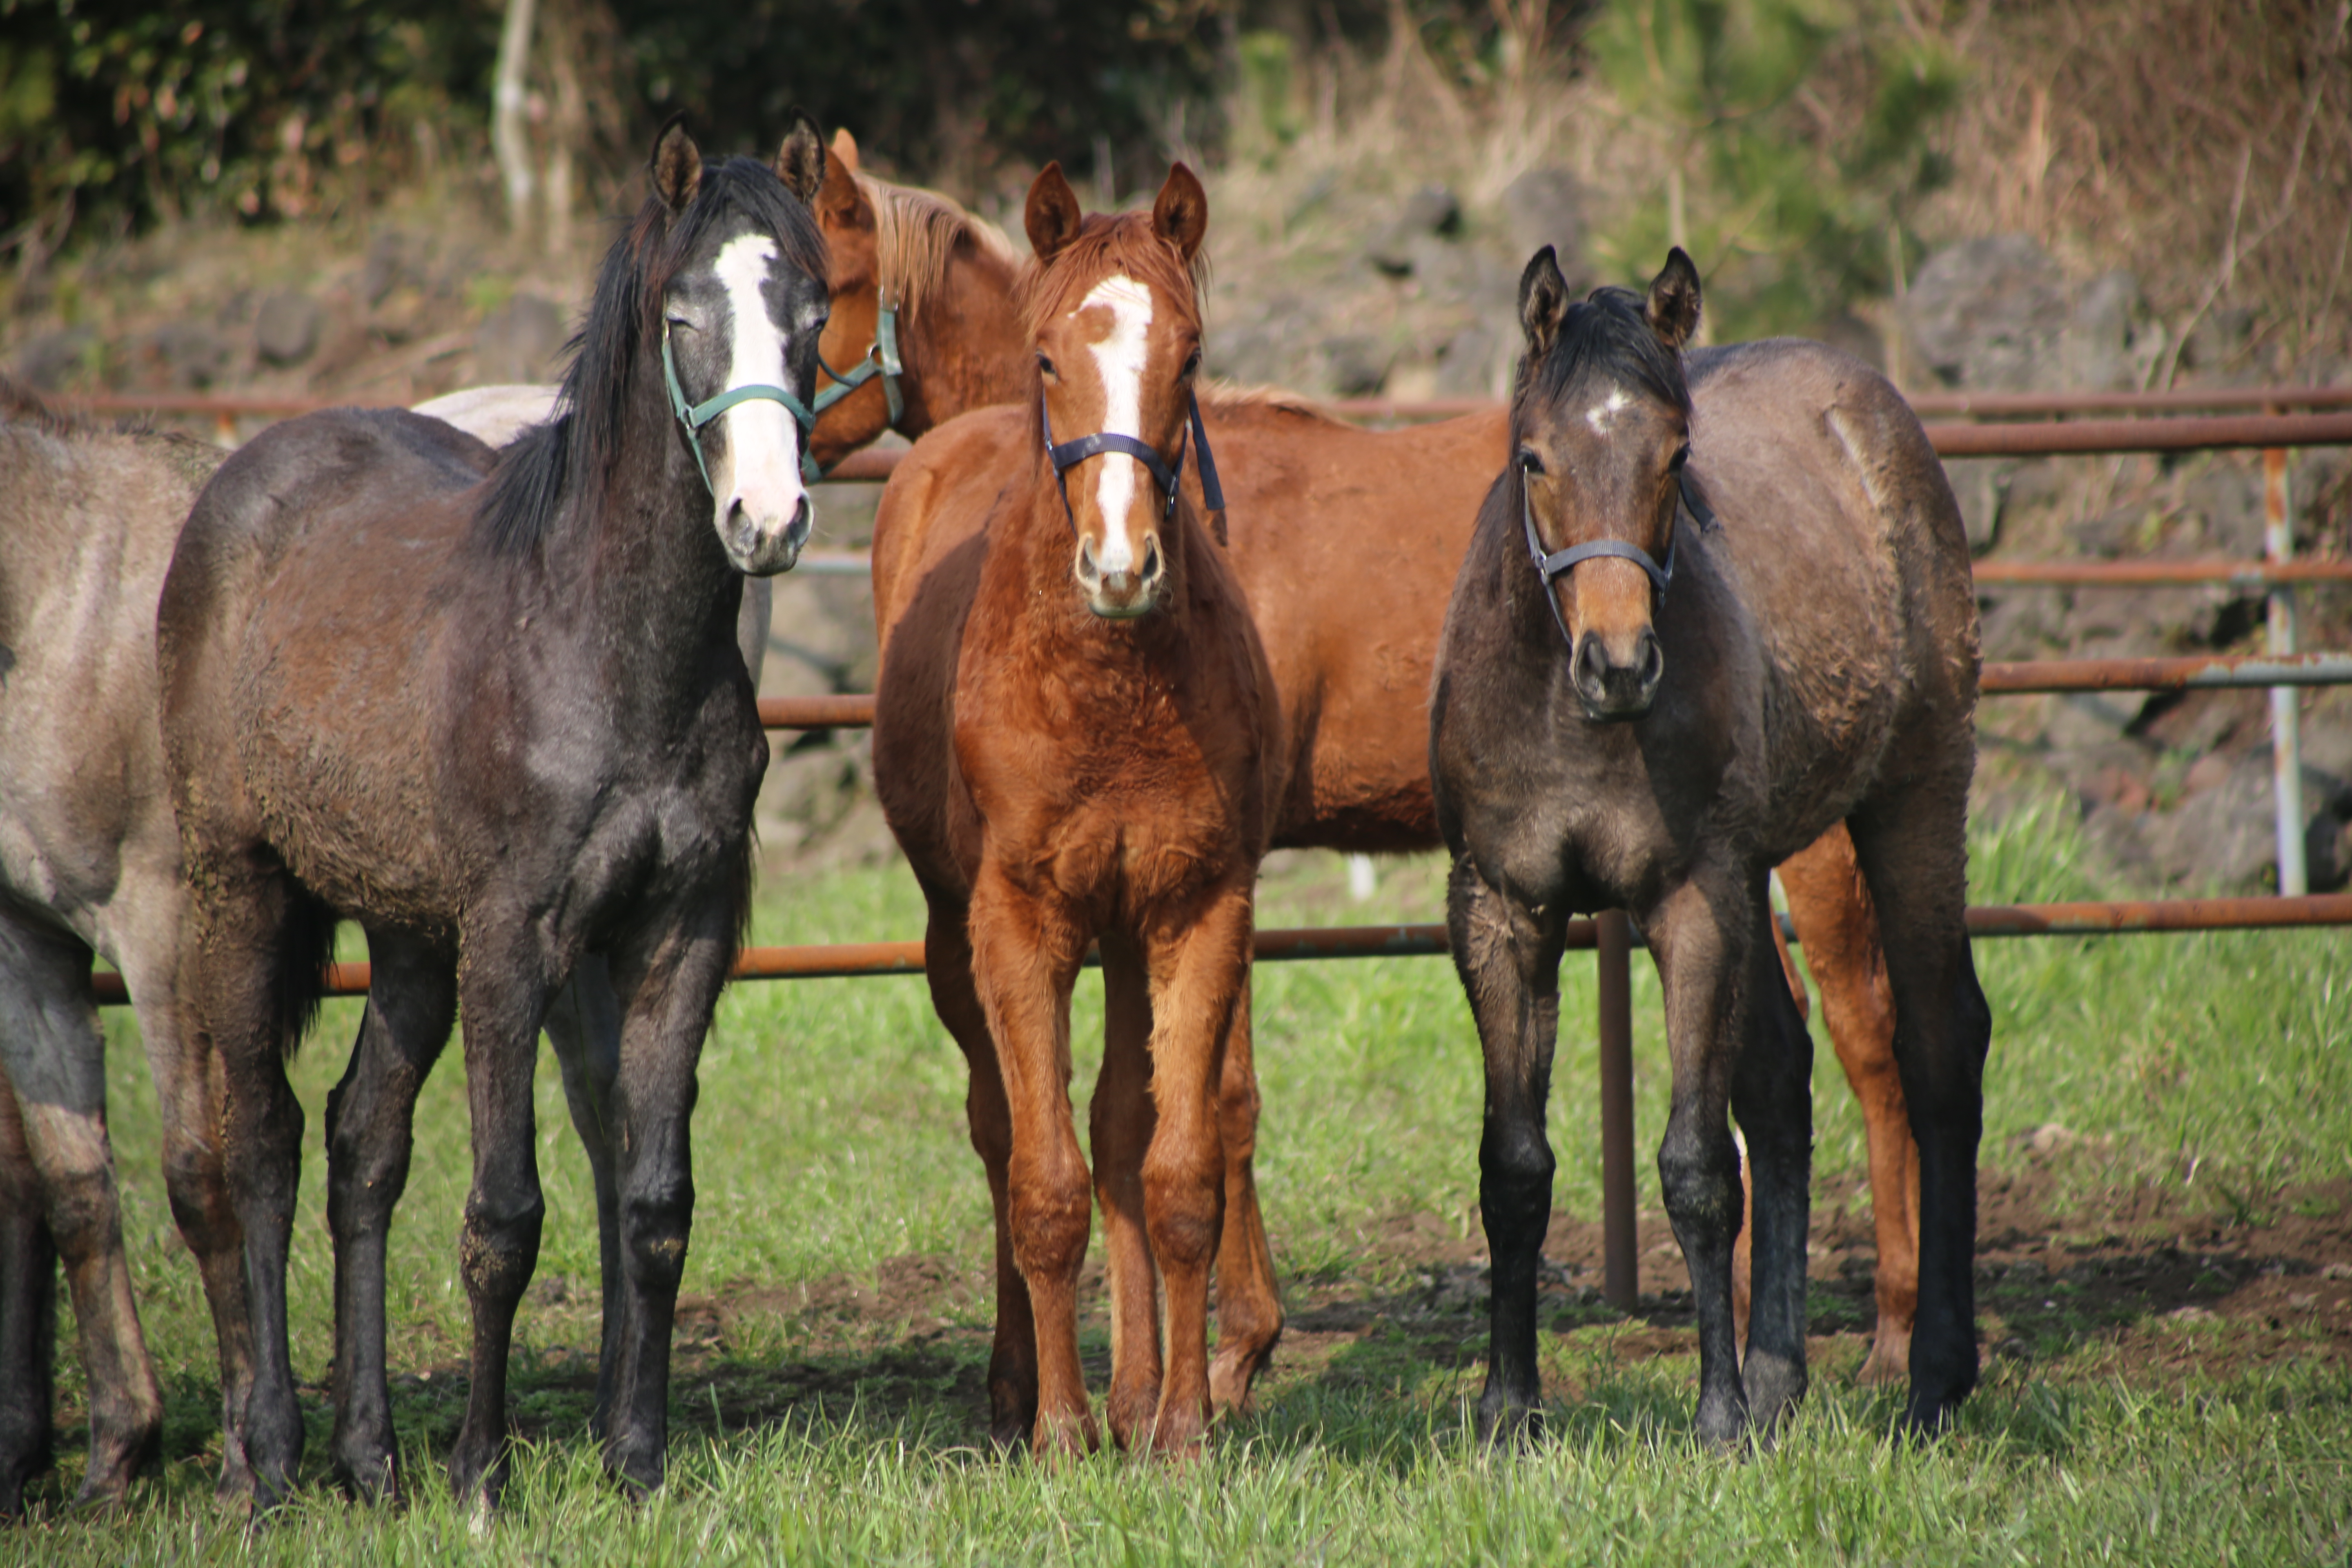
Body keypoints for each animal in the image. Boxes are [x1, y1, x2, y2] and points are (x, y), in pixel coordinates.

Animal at [158, 116, 837, 1514]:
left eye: (815, 313)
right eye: (684, 317)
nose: (769, 520)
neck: (607, 649)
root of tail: (240, 479)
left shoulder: (682, 933)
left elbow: (654, 1203)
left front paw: (636, 1458)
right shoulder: (517, 939)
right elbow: (505, 1215)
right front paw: (483, 1469)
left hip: (413, 933)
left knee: (362, 1140)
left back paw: (369, 1458)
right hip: (239, 884)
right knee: (263, 1138)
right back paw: (273, 1455)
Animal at [870, 162, 1279, 1457]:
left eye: (1188, 358)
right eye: (1048, 357)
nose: (1118, 565)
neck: (1106, 690)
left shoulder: (1194, 909)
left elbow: (1173, 1170)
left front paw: (1182, 1426)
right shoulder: (1020, 923)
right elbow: (1040, 1183)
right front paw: (1058, 1429)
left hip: (1126, 937)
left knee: (1114, 1132)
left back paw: (1138, 1392)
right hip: (956, 939)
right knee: (1003, 1131)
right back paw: (1020, 1389)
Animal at [1421, 248, 1994, 1448]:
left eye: (1676, 456)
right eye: (1533, 456)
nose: (1618, 662)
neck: (1569, 715)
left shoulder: (1689, 902)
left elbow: (1692, 1167)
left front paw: (1718, 1417)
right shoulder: (1502, 910)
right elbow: (1513, 1169)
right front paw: (1506, 1410)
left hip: (1909, 801)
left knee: (1937, 1049)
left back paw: (1929, 1377)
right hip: (1758, 872)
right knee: (1780, 1079)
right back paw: (1782, 1380)